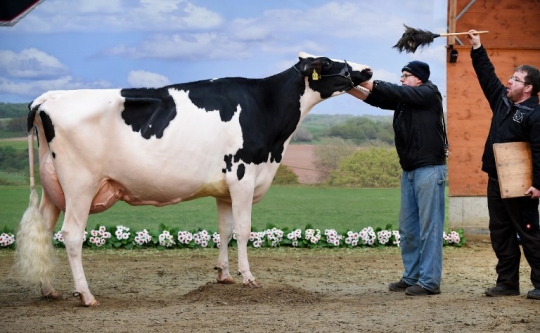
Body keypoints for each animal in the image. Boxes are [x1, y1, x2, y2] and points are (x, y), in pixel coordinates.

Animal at [15, 52, 372, 306]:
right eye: (328, 63)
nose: (368, 70)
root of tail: (47, 98)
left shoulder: (225, 189)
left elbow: (225, 230)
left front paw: (224, 275)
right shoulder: (243, 176)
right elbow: (244, 231)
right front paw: (248, 277)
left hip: (53, 188)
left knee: (44, 233)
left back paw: (49, 290)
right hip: (80, 185)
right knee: (71, 235)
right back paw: (86, 296)